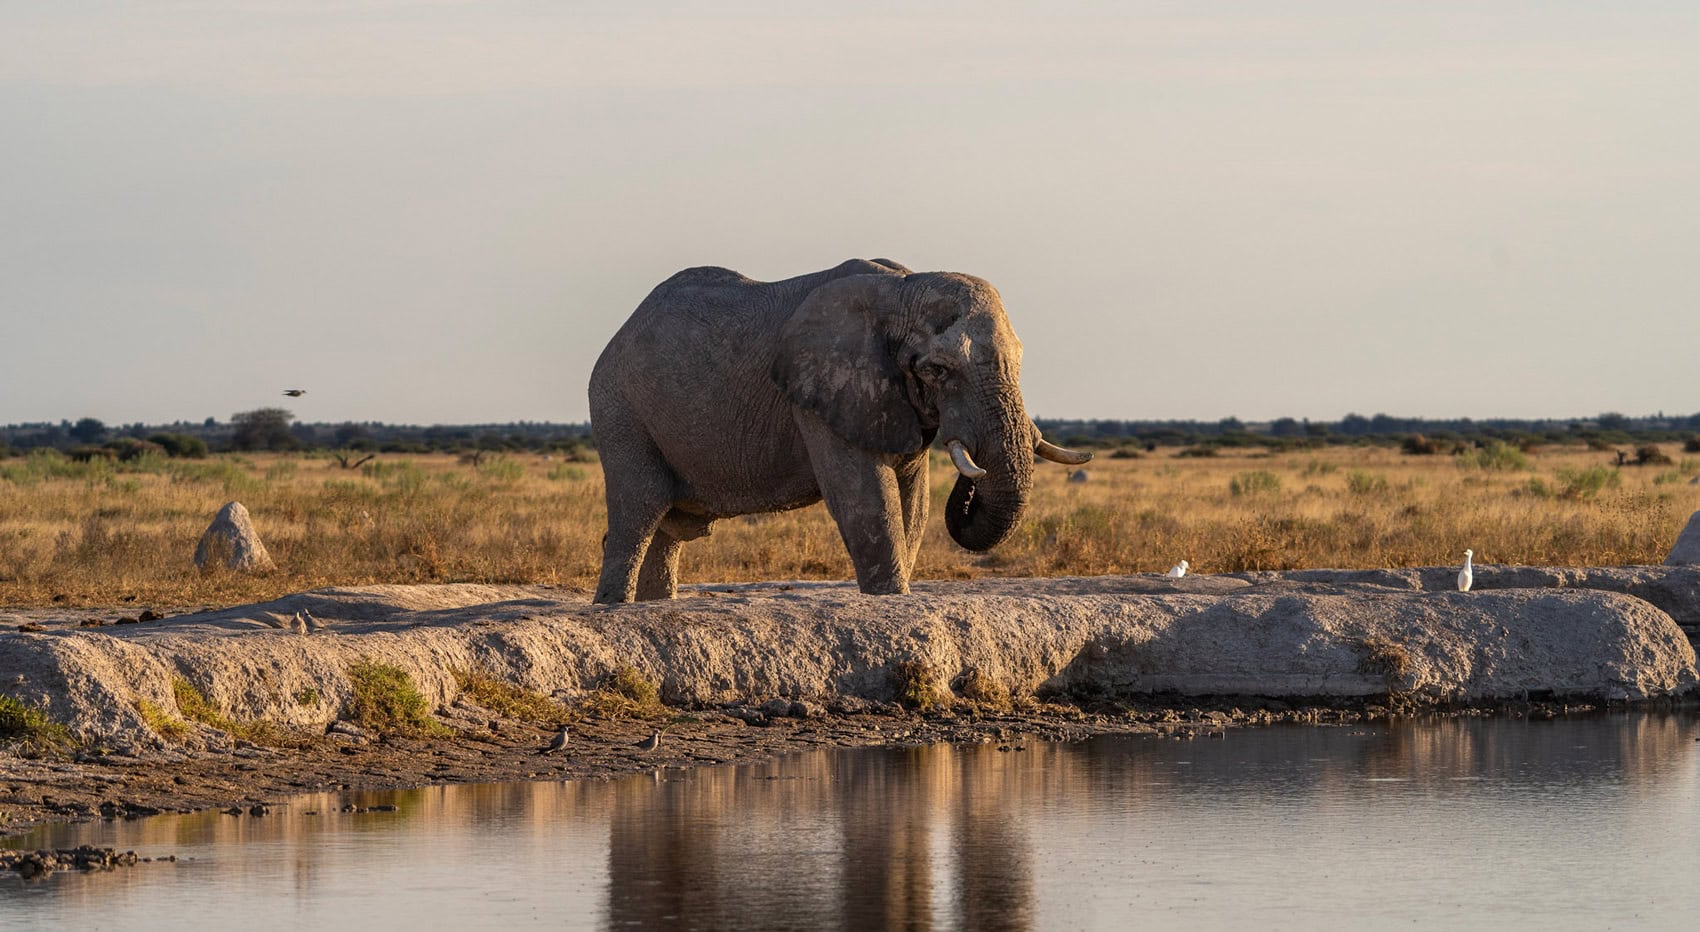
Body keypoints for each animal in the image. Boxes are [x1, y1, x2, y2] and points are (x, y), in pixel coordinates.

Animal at [588, 258, 1090, 603]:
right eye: (937, 370)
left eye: (1020, 362)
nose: (972, 477)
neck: (903, 288)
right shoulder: (820, 392)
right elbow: (866, 500)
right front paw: (891, 600)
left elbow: (914, 504)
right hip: (620, 411)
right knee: (638, 515)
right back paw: (614, 606)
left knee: (663, 531)